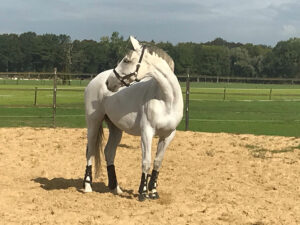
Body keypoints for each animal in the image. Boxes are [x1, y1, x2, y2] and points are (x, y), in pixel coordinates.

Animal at [83, 36, 184, 200]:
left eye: (126, 60)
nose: (109, 82)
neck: (166, 100)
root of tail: (96, 79)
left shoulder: (168, 135)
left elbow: (157, 162)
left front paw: (153, 192)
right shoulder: (147, 132)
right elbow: (146, 161)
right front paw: (143, 193)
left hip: (115, 128)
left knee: (109, 152)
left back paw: (116, 188)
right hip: (93, 123)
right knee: (90, 151)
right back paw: (87, 186)